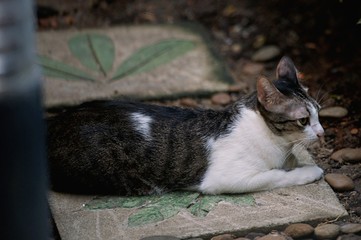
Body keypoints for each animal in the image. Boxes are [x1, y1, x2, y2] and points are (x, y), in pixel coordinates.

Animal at [46, 56, 324, 195]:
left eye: (319, 114)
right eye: (303, 120)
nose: (322, 133)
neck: (278, 143)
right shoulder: (228, 178)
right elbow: (277, 176)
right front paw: (311, 171)